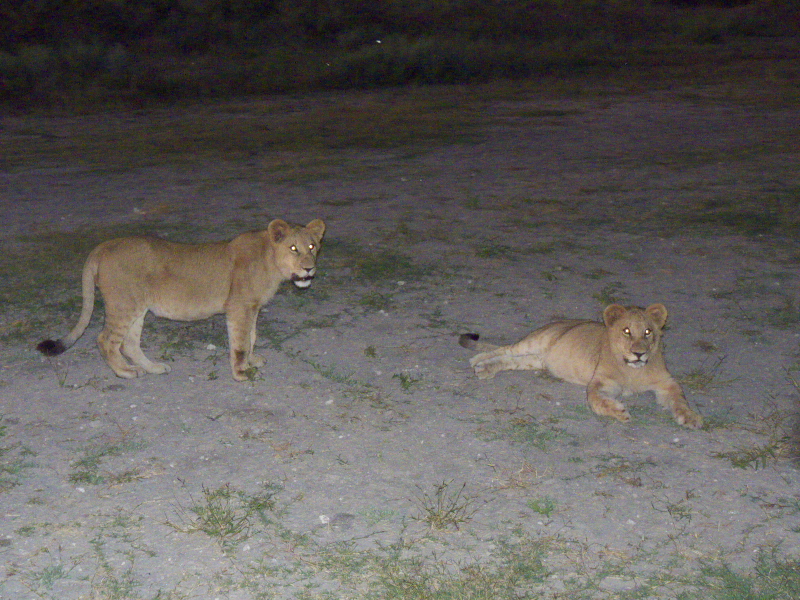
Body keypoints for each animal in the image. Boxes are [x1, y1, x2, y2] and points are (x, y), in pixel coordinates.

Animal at [37, 218, 325, 382]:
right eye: (293, 248)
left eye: (312, 246)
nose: (309, 268)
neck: (270, 260)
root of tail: (103, 246)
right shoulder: (239, 308)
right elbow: (240, 342)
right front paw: (242, 373)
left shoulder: (252, 307)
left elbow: (252, 337)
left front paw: (252, 360)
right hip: (124, 305)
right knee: (106, 340)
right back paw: (125, 372)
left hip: (137, 308)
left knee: (129, 344)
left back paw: (153, 368)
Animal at [460, 303, 702, 428]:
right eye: (626, 331)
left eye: (648, 331)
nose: (639, 353)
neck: (632, 371)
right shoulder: (600, 382)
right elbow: (596, 401)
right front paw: (619, 412)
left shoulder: (666, 382)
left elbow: (679, 399)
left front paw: (690, 417)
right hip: (534, 341)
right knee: (506, 349)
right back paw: (479, 362)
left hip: (535, 360)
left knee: (511, 360)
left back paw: (486, 367)